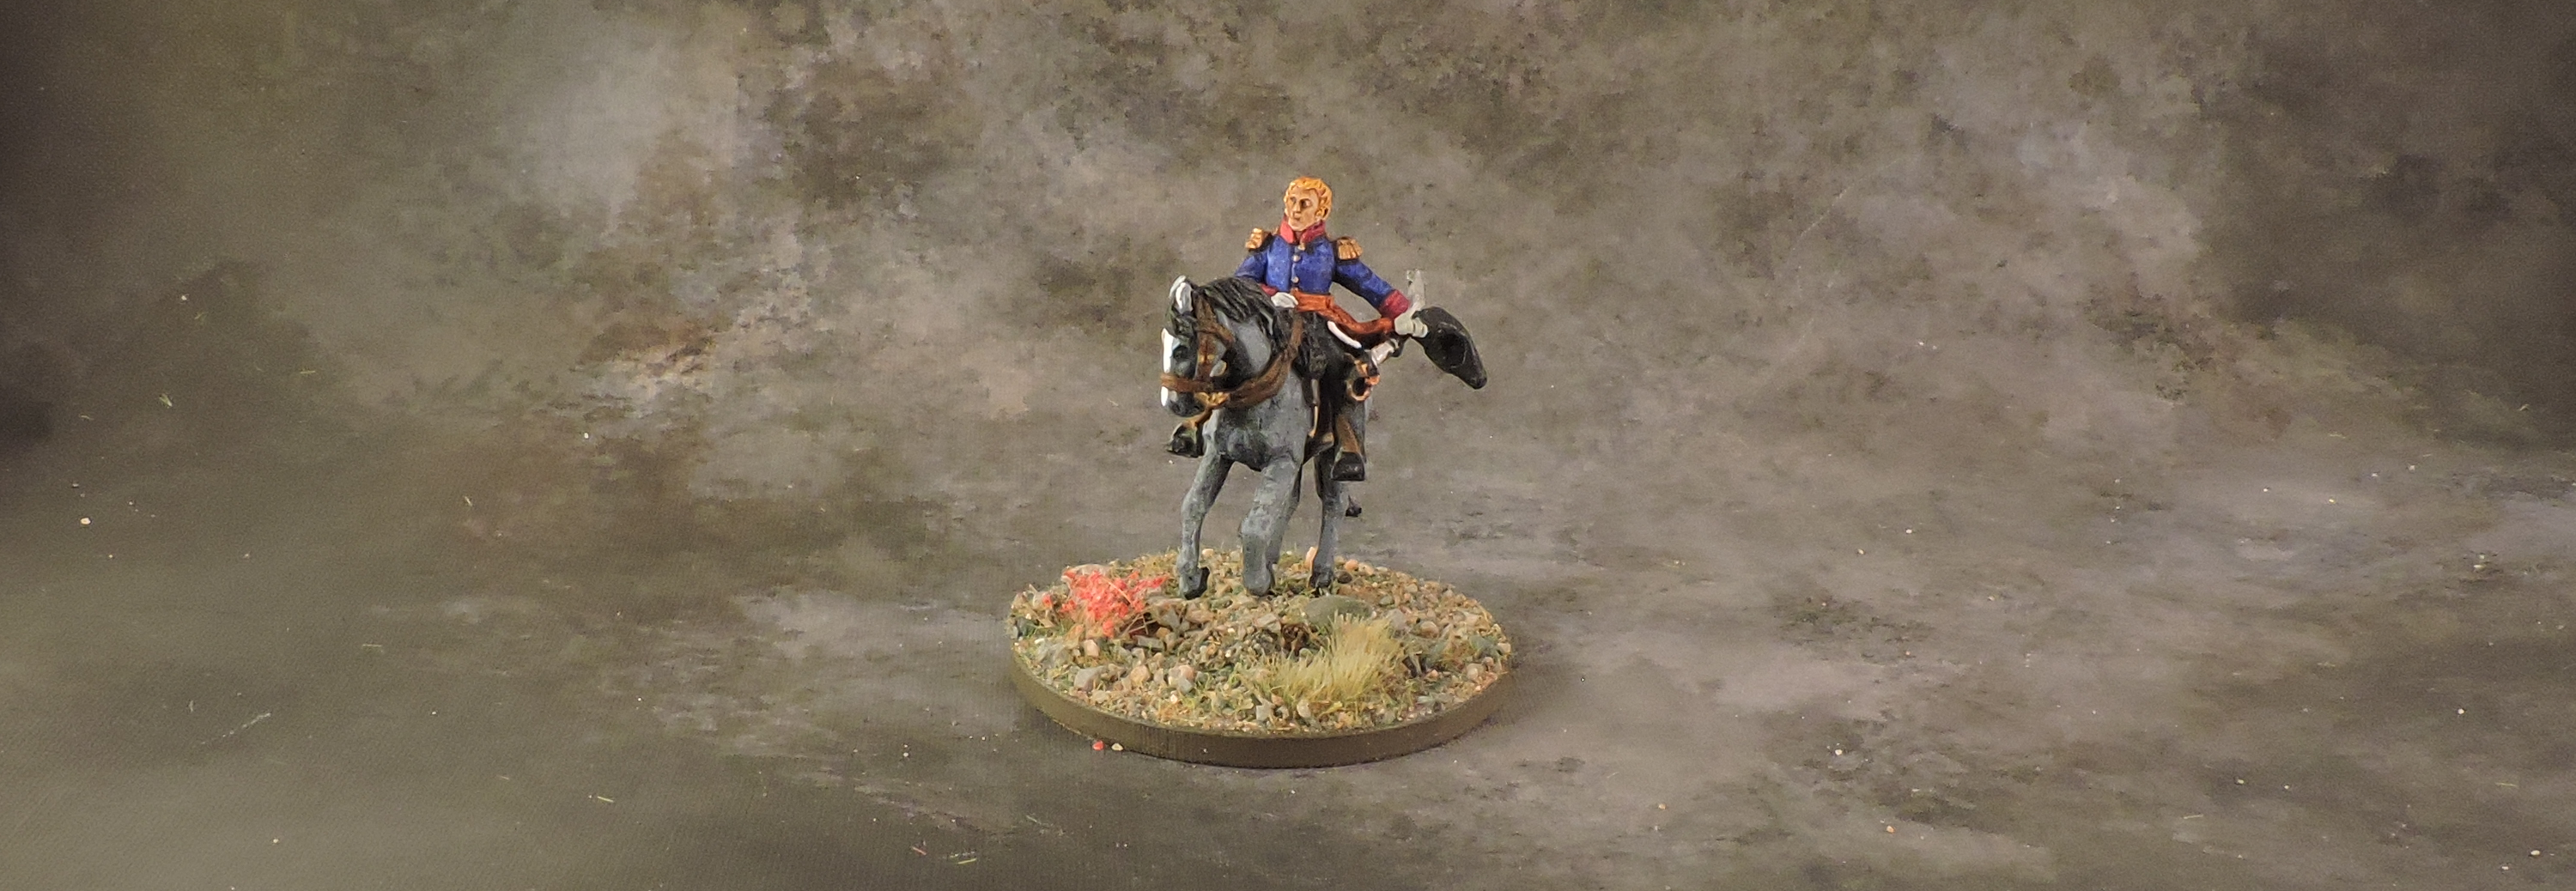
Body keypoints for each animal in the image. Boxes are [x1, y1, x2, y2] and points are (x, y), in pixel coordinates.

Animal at [1157, 275, 1362, 599]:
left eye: (1181, 350)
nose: (1173, 403)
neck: (1254, 389)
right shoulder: (1218, 455)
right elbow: (1194, 505)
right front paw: (1191, 578)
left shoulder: (1282, 461)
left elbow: (1255, 524)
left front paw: (1257, 582)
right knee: (1290, 502)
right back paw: (1272, 560)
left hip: (1332, 452)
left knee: (1333, 502)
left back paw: (1321, 574)